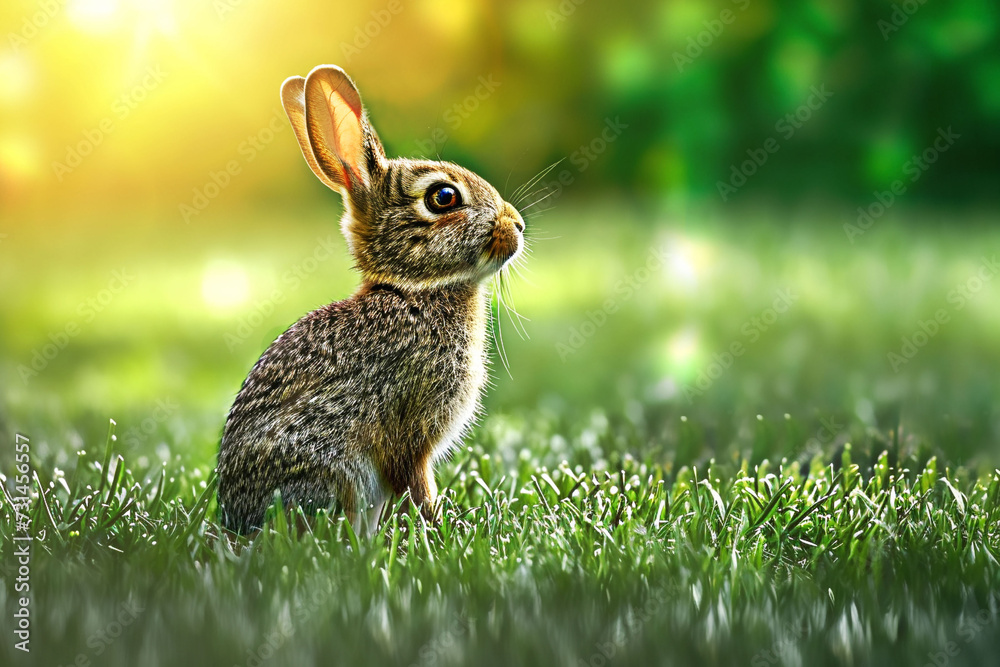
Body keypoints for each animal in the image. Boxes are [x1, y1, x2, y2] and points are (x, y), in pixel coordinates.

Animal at [216, 65, 525, 535]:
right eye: (444, 197)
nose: (518, 225)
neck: (414, 291)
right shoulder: (409, 430)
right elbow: (416, 482)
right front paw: (437, 527)